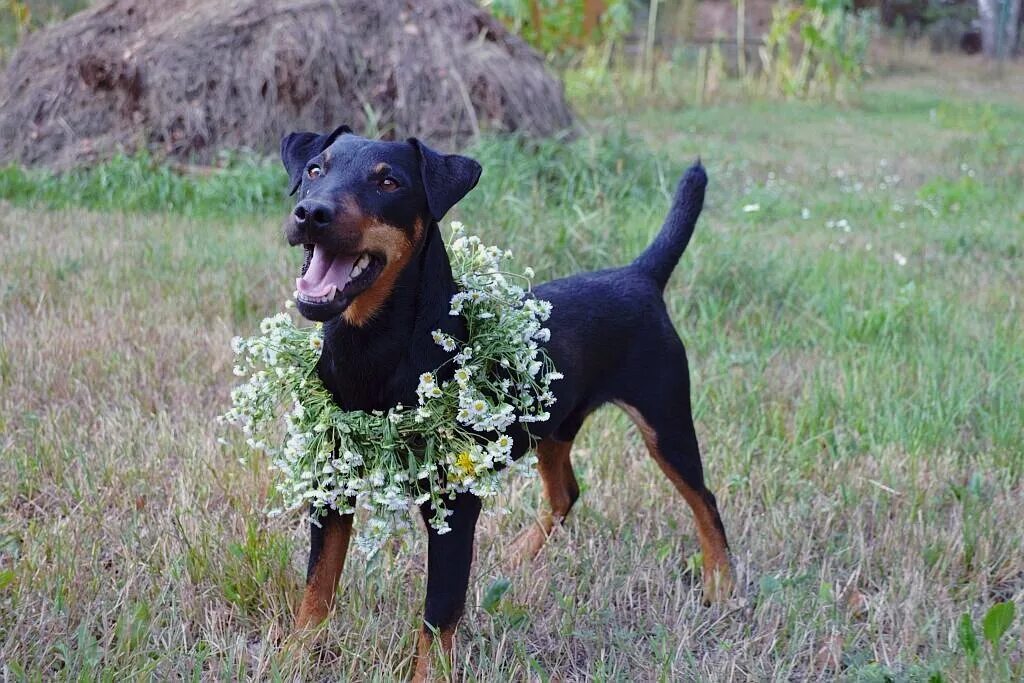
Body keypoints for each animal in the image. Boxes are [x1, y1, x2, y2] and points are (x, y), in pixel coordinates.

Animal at [276, 126, 733, 679]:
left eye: (389, 182)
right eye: (314, 169)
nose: (310, 213)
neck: (371, 349)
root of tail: (640, 275)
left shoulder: (455, 509)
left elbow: (439, 614)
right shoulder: (331, 487)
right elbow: (316, 590)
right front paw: (292, 659)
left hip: (665, 423)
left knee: (704, 500)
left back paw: (721, 585)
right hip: (555, 428)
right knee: (566, 493)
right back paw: (519, 556)